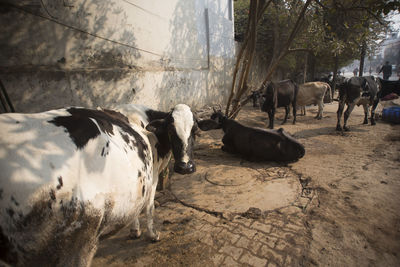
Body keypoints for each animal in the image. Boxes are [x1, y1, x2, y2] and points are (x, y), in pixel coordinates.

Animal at [0, 104, 209, 267]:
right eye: (171, 131)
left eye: (195, 131)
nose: (185, 167)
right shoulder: (151, 178)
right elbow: (148, 208)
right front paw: (152, 234)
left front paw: (135, 231)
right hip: (77, 239)